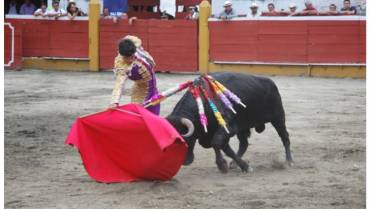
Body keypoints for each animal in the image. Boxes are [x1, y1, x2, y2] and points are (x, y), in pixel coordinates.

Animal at [166, 72, 294, 172]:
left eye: (184, 140)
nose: (185, 162)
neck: (203, 102)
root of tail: (271, 83)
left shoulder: (229, 127)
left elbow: (217, 143)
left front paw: (223, 165)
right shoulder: (223, 132)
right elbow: (225, 148)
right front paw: (239, 165)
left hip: (278, 118)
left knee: (285, 137)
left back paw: (289, 161)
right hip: (243, 127)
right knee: (244, 144)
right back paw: (234, 163)